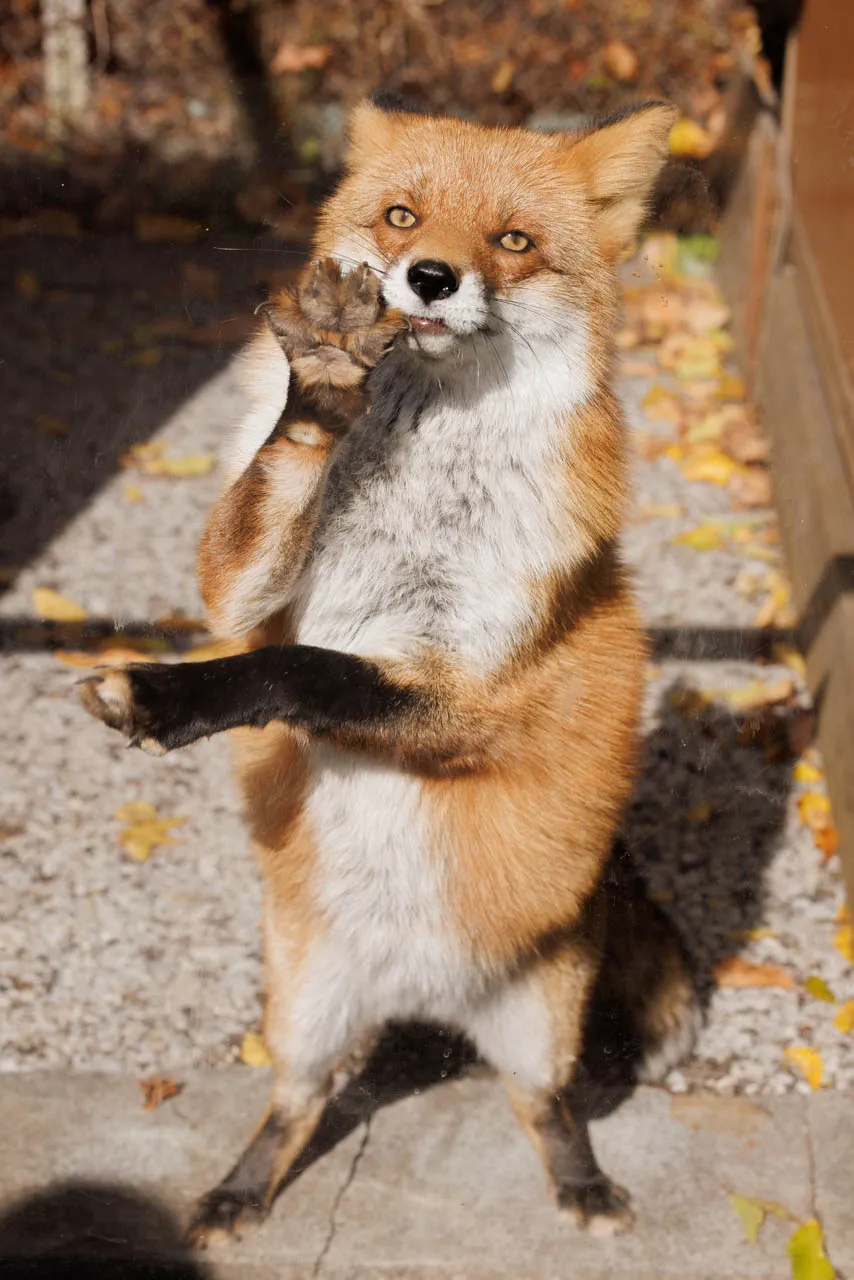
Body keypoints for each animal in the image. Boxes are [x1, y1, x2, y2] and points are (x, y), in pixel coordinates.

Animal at [80, 96, 700, 1244]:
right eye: (403, 216)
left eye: (512, 240)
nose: (431, 277)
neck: (416, 500)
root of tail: (422, 995)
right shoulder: (235, 597)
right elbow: (265, 576)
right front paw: (324, 387)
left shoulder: (476, 691)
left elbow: (306, 667)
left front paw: (165, 696)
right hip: (304, 1009)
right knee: (296, 1102)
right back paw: (239, 1192)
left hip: (541, 1021)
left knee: (544, 1105)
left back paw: (583, 1187)